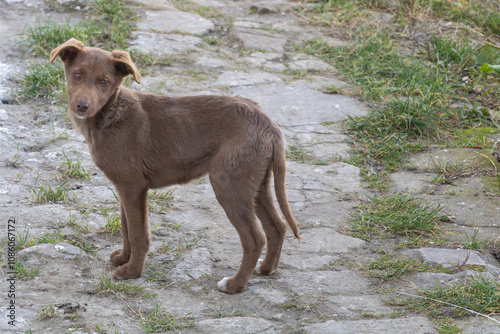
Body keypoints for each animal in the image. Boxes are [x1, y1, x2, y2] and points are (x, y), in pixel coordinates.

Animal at [49, 38, 300, 292]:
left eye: (104, 82)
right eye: (77, 75)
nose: (82, 106)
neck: (112, 113)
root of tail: (270, 125)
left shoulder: (133, 187)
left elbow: (138, 233)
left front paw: (132, 272)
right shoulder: (124, 186)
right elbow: (126, 226)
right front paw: (123, 258)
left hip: (229, 185)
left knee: (255, 239)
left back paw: (234, 285)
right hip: (256, 183)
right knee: (277, 226)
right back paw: (266, 269)